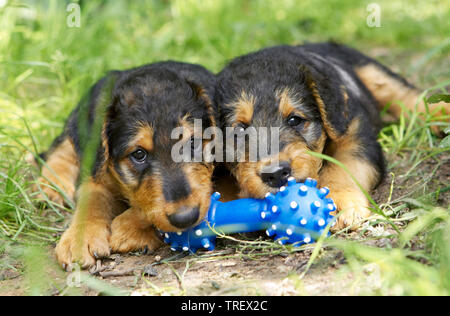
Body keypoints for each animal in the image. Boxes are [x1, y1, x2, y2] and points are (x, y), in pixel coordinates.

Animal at [33, 61, 216, 270]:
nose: (186, 217)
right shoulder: (98, 174)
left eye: (193, 142)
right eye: (139, 154)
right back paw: (50, 187)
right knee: (62, 148)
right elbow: (91, 199)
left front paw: (126, 230)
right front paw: (78, 240)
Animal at [216, 42, 448, 230]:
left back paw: (441, 114)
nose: (276, 174)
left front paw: (338, 203)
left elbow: (344, 166)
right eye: (240, 130)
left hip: (372, 72)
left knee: (407, 96)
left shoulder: (355, 134)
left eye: (295, 120)